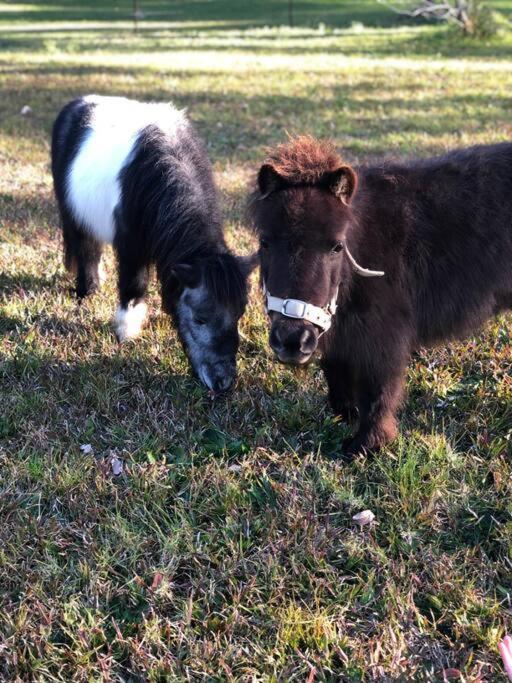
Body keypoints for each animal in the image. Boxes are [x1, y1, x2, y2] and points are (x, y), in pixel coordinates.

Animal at [51, 95, 256, 393]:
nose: (223, 383)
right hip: (72, 212)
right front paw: (127, 332)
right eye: (200, 318)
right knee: (85, 247)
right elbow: (133, 285)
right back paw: (87, 290)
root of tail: (76, 103)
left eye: (239, 314)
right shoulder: (131, 248)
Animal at [251, 135, 512, 456]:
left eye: (337, 246)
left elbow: (377, 393)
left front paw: (367, 445)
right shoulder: (342, 333)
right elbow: (336, 372)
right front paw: (345, 416)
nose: (291, 341)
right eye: (265, 242)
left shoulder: (383, 339)